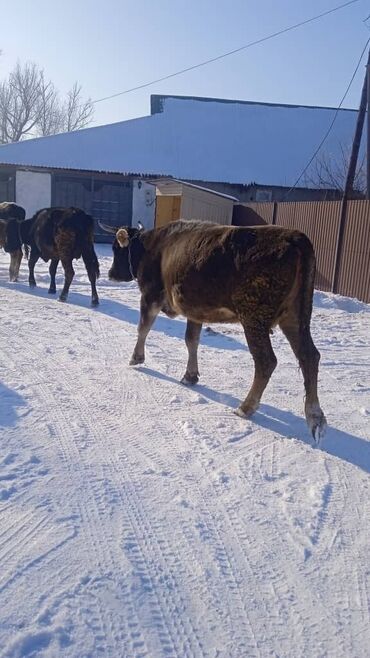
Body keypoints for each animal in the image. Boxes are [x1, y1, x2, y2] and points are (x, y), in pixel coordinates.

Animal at [99, 220, 326, 440]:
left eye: (115, 248)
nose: (110, 274)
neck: (152, 246)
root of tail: (294, 236)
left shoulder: (151, 295)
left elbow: (143, 328)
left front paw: (136, 357)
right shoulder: (194, 311)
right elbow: (191, 340)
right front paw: (190, 375)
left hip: (254, 318)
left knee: (266, 361)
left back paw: (246, 407)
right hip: (296, 317)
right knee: (309, 356)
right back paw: (315, 416)